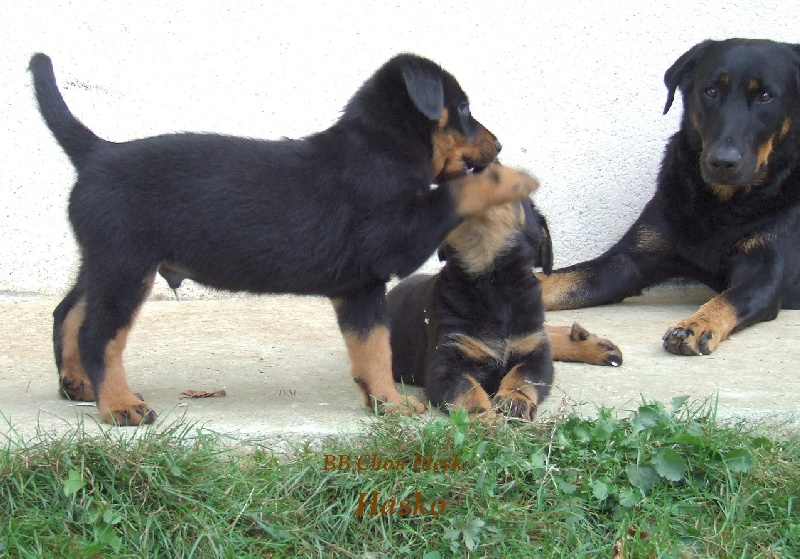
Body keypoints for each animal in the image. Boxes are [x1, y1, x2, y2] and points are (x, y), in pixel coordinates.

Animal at [28, 54, 536, 426]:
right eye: (464, 109)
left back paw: (77, 383)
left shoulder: (359, 286)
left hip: (106, 259)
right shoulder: (397, 238)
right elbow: (455, 191)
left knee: (69, 311)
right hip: (126, 264)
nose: (500, 145)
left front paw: (384, 401)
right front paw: (512, 178)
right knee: (100, 333)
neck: (382, 146)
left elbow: (372, 347)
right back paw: (118, 404)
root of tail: (97, 152)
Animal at [384, 199, 620, 422]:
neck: (494, 283)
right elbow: (468, 391)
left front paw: (514, 400)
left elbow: (522, 377)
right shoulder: (446, 362)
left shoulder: (535, 354)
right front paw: (485, 419)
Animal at [536, 37, 800, 356]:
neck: (721, 203)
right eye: (711, 91)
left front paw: (697, 324)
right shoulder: (628, 261)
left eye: (765, 96)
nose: (722, 162)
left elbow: (729, 299)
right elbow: (561, 279)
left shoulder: (764, 275)